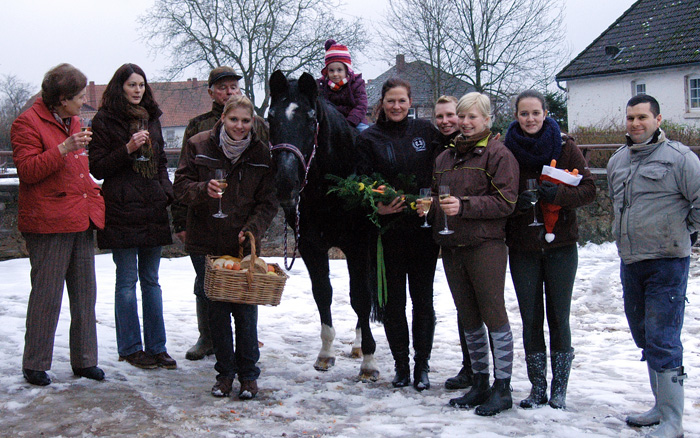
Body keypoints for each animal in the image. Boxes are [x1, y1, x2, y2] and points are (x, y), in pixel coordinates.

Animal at [266, 71, 378, 380]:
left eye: (310, 119)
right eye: (270, 118)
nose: (285, 184)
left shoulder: (358, 246)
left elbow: (360, 297)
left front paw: (369, 362)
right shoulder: (311, 246)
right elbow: (322, 294)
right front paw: (326, 353)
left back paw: (360, 345)